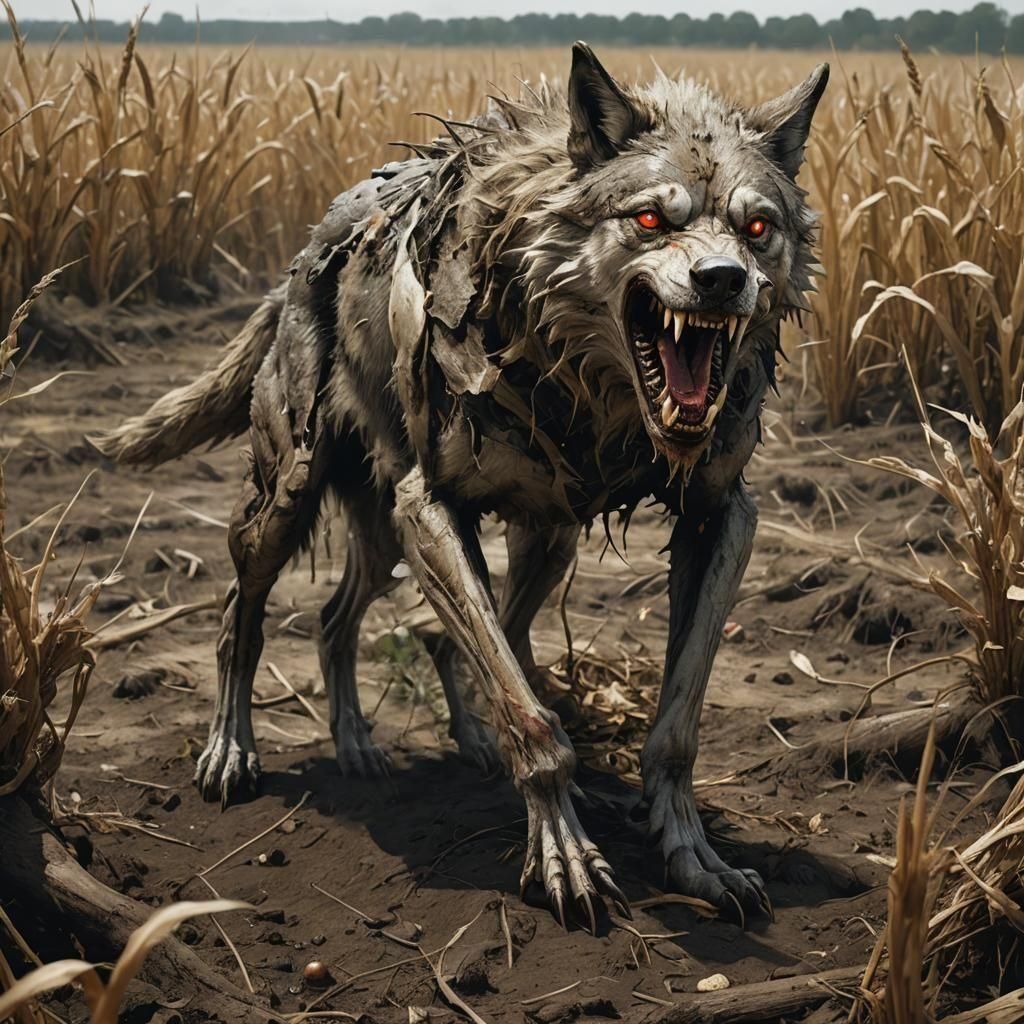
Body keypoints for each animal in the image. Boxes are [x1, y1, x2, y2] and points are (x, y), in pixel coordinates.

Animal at [96, 44, 827, 926]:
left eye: (758, 228)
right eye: (652, 219)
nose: (723, 280)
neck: (599, 398)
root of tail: (306, 254)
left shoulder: (721, 517)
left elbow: (672, 725)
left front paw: (692, 857)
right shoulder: (431, 509)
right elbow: (533, 719)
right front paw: (564, 857)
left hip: (515, 540)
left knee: (363, 625)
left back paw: (375, 745)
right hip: (291, 500)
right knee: (244, 614)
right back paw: (230, 750)